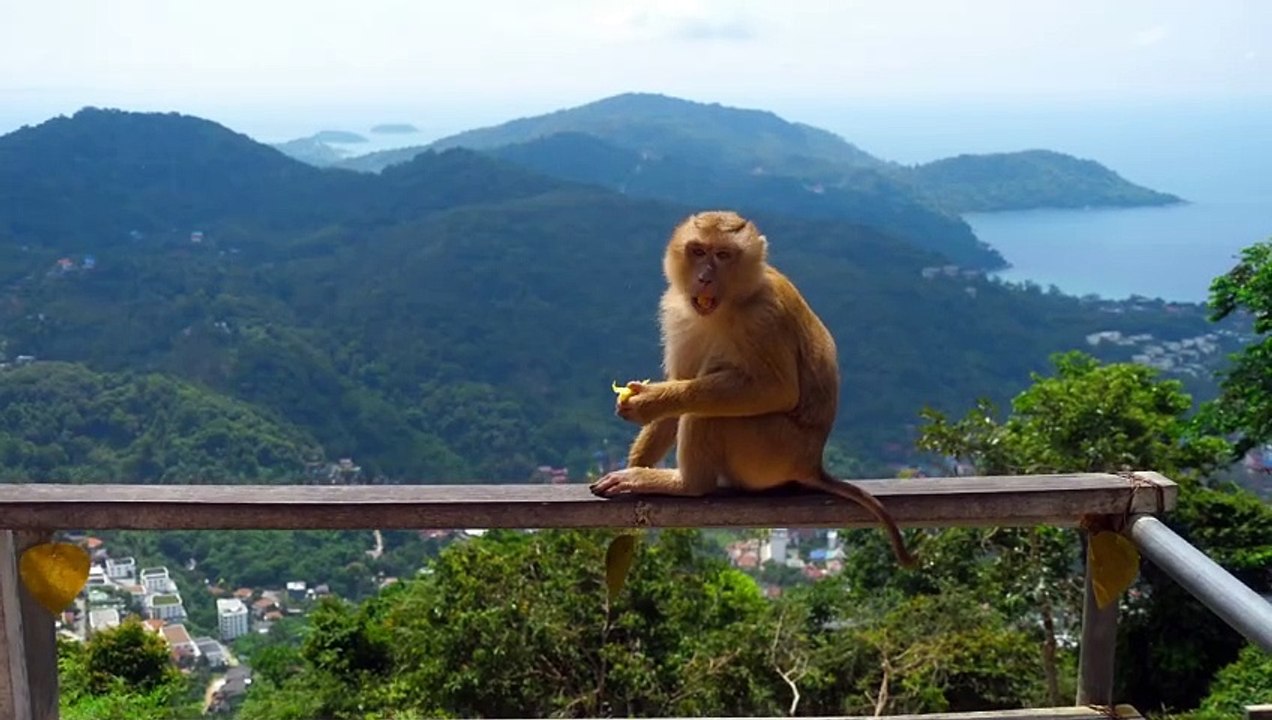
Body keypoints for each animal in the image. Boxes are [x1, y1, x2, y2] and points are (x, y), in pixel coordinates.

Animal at [589, 210, 917, 568]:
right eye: (698, 251)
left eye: (723, 255)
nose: (704, 277)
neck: (731, 303)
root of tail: (811, 464)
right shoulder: (677, 313)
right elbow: (680, 383)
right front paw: (637, 461)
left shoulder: (763, 317)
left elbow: (778, 390)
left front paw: (647, 403)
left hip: (771, 452)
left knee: (708, 410)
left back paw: (687, 485)